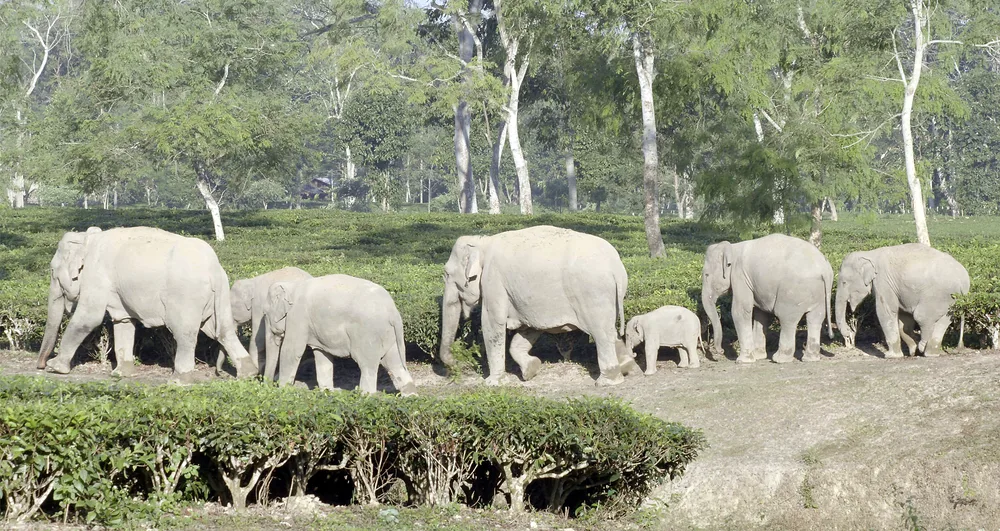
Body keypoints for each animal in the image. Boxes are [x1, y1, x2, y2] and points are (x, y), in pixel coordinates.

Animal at [37, 226, 257, 382]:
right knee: (221, 331)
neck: (87, 239)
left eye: (52, 271)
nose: (40, 366)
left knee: (185, 333)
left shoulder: (97, 275)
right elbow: (123, 322)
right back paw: (249, 374)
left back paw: (178, 380)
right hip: (219, 296)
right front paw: (120, 374)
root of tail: (213, 268)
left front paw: (56, 368)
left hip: (186, 296)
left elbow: (88, 318)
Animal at [265, 274, 416, 396]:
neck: (292, 286)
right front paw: (327, 392)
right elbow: (322, 354)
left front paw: (282, 391)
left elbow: (292, 350)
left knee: (367, 365)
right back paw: (411, 397)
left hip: (367, 334)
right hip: (389, 335)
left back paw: (365, 397)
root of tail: (393, 312)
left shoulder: (298, 317)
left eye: (265, 315)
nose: (267, 386)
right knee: (394, 362)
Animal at [439, 225, 641, 387]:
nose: (458, 365)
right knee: (610, 331)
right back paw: (628, 367)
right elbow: (529, 328)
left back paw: (607, 381)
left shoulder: (493, 282)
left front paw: (492, 383)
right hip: (609, 298)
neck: (483, 242)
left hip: (593, 295)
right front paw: (531, 370)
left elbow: (492, 323)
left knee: (601, 334)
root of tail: (615, 267)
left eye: (447, 273)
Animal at [702, 233, 833, 364]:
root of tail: (825, 270)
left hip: (792, 293)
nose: (721, 351)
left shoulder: (740, 277)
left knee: (787, 319)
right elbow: (761, 315)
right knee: (815, 319)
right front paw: (758, 356)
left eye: (706, 275)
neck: (733, 248)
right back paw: (810, 359)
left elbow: (741, 311)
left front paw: (743, 361)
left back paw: (779, 359)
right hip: (819, 294)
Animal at [836, 243, 970, 358]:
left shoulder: (883, 281)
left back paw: (922, 347)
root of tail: (964, 281)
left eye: (844, 282)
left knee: (921, 316)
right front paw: (912, 351)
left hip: (938, 295)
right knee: (945, 320)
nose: (849, 333)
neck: (869, 254)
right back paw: (930, 353)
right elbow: (903, 319)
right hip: (952, 300)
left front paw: (891, 356)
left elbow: (886, 311)